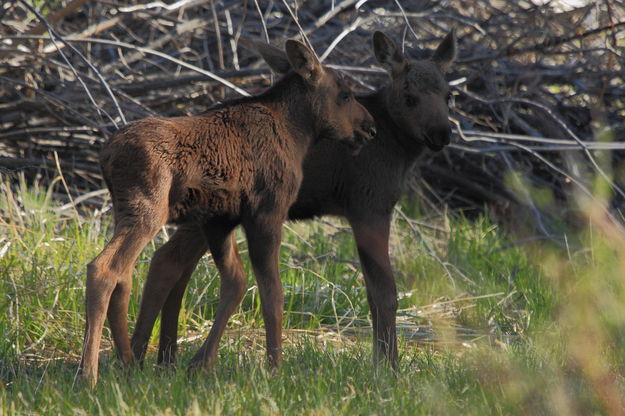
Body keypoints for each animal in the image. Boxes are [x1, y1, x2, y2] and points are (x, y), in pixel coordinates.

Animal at [79, 39, 376, 386]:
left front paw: (201, 362)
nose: (370, 128)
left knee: (126, 275)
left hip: (126, 209)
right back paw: (89, 374)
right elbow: (271, 294)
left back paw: (127, 361)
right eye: (345, 94)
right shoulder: (266, 213)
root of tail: (106, 155)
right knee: (104, 269)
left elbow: (234, 282)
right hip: (147, 209)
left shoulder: (219, 220)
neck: (299, 133)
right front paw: (275, 368)